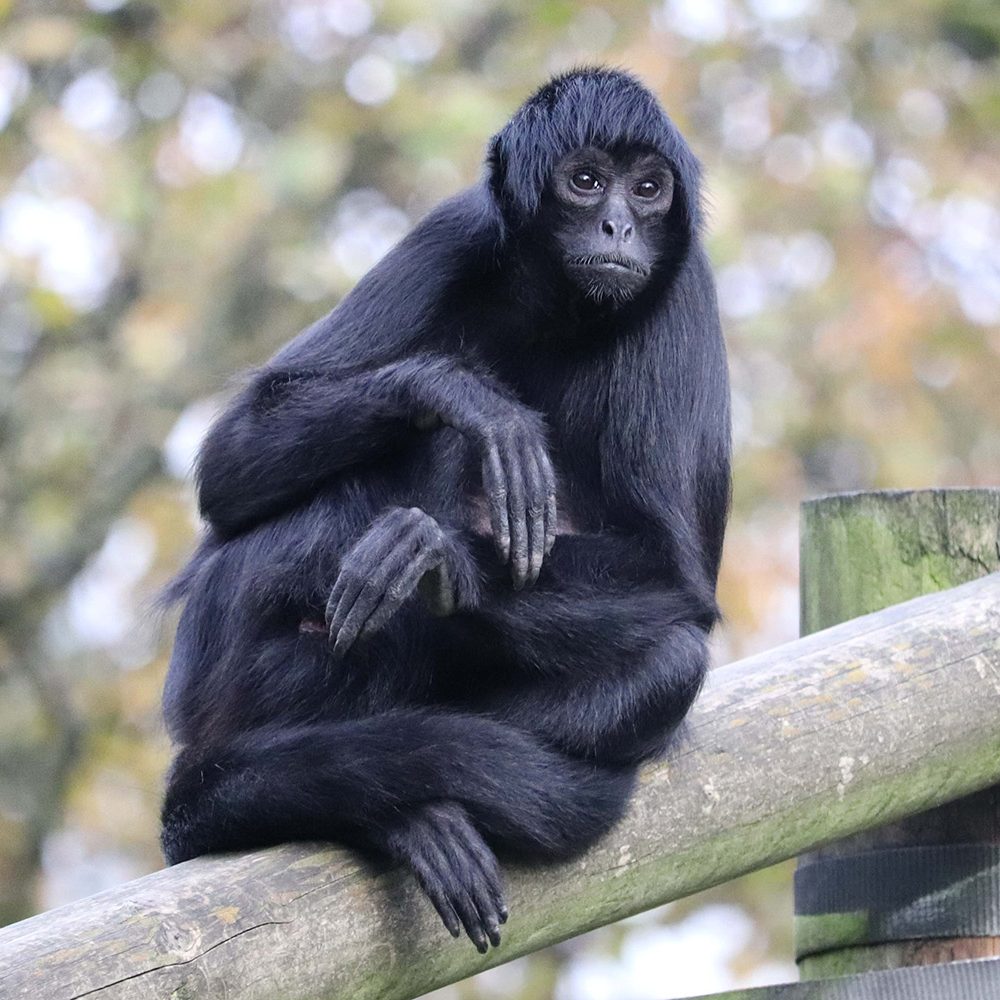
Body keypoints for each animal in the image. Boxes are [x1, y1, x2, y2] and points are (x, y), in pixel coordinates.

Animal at [160, 68, 732, 952]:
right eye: (586, 181)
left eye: (647, 189)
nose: (617, 225)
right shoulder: (454, 233)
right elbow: (229, 462)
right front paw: (459, 394)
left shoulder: (681, 294)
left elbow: (676, 581)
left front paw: (443, 557)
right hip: (222, 654)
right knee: (415, 454)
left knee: (671, 661)